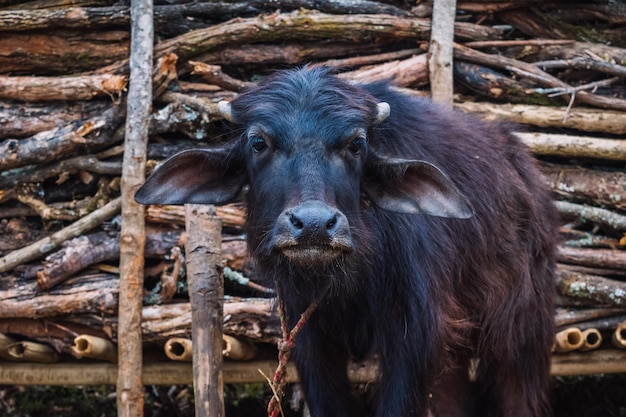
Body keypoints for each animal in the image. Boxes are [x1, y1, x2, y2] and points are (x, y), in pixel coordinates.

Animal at [135, 66, 556, 416]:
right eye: (258, 143)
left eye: (355, 144)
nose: (314, 225)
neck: (353, 278)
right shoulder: (310, 341)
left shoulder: (416, 337)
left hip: (523, 332)